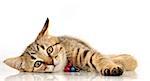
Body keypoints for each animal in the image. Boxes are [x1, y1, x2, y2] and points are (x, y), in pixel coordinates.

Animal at [3, 18, 137, 75]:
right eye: (37, 64)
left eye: (49, 50)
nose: (52, 62)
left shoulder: (85, 51)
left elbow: (101, 58)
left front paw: (111, 66)